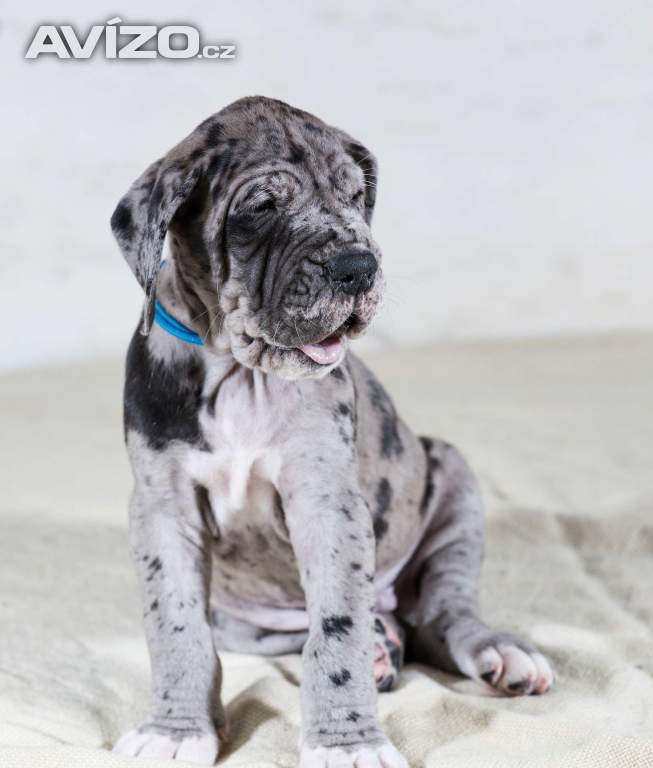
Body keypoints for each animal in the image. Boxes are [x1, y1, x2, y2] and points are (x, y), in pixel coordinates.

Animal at [111, 96, 554, 767]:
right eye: (261, 208)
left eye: (355, 196)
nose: (359, 266)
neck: (242, 373)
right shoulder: (163, 511)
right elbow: (177, 627)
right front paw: (175, 729)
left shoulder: (328, 503)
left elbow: (335, 632)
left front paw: (348, 741)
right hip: (247, 619)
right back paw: (382, 649)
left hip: (451, 479)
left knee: (442, 616)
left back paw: (496, 651)